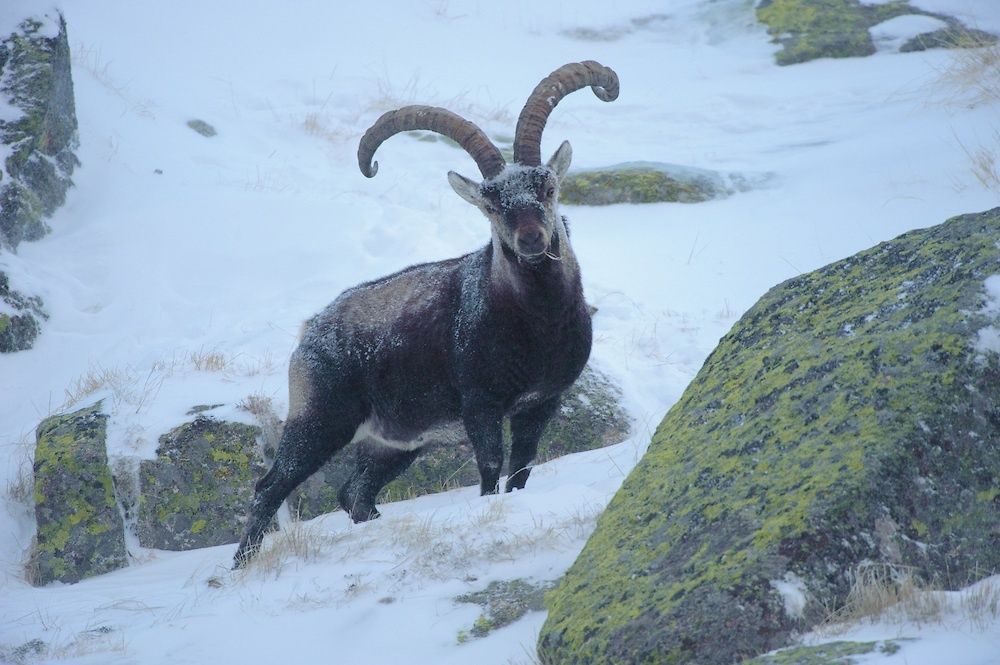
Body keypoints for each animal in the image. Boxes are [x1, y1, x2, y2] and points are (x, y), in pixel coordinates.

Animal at [233, 61, 619, 568]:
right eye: (491, 203)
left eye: (548, 186)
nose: (532, 239)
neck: (538, 324)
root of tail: (309, 333)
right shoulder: (480, 404)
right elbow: (490, 471)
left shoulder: (541, 402)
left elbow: (522, 471)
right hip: (321, 419)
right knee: (270, 487)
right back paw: (239, 566)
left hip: (396, 442)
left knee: (354, 493)